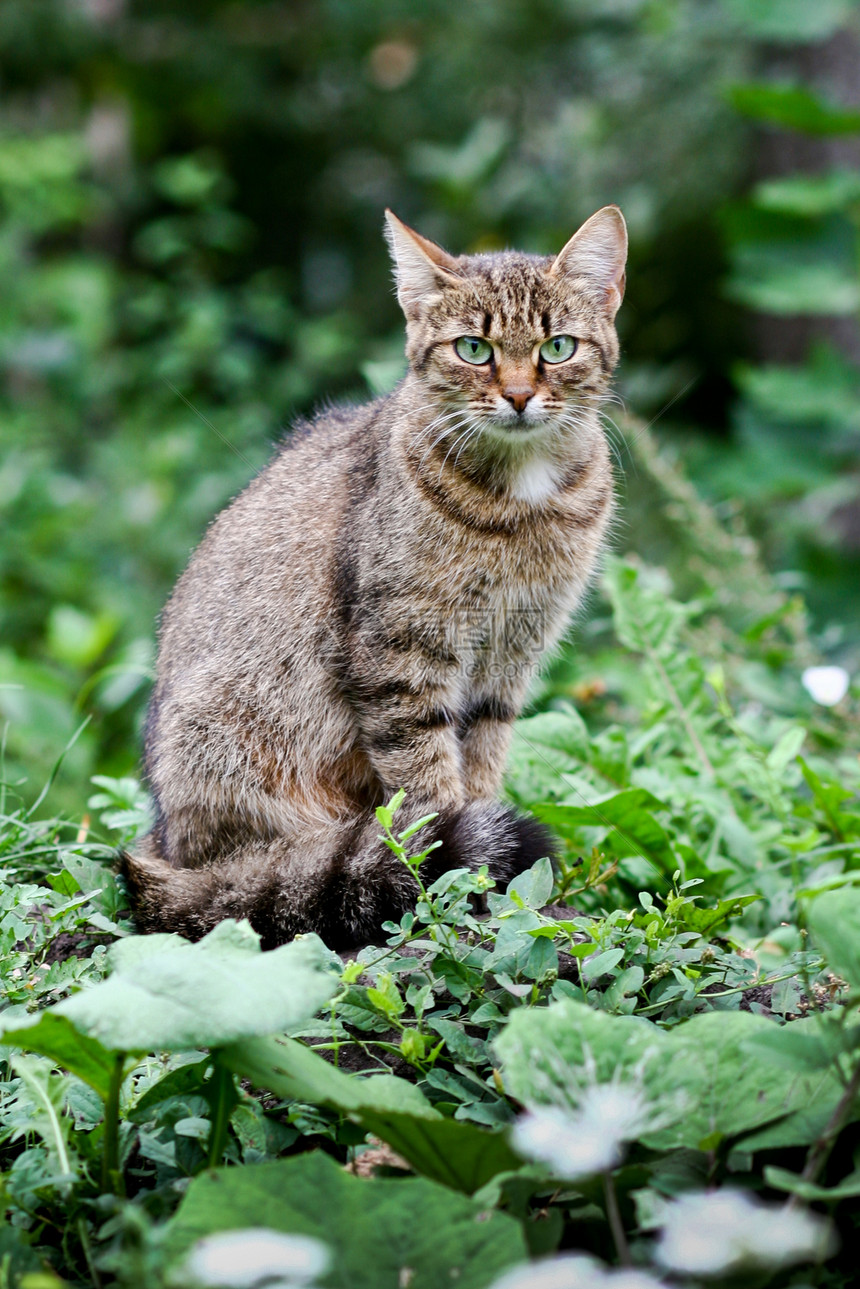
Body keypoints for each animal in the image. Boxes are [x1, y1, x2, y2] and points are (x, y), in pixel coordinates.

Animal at [122, 201, 626, 948]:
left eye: (557, 347)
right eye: (473, 350)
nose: (517, 396)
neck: (521, 502)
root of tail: (161, 844)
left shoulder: (510, 657)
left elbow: (480, 767)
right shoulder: (401, 650)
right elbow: (428, 785)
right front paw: (450, 881)